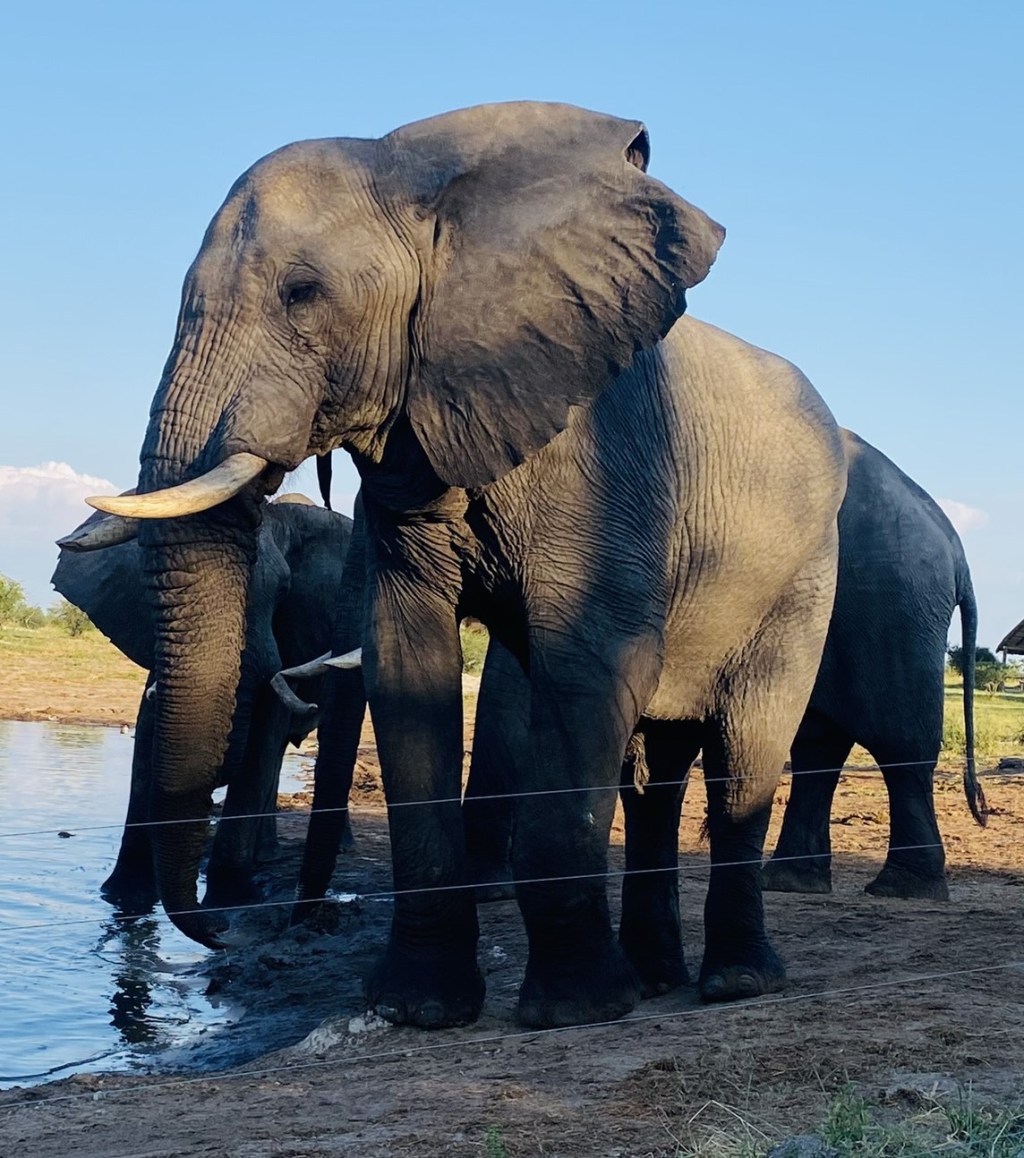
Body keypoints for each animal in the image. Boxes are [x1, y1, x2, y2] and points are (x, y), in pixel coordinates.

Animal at [86, 101, 847, 1030]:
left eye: (303, 295)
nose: (220, 931)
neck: (420, 178)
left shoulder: (609, 462)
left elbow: (587, 668)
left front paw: (573, 1009)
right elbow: (410, 667)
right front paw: (420, 1009)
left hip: (806, 572)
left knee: (745, 752)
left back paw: (734, 983)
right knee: (655, 780)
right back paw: (656, 977)